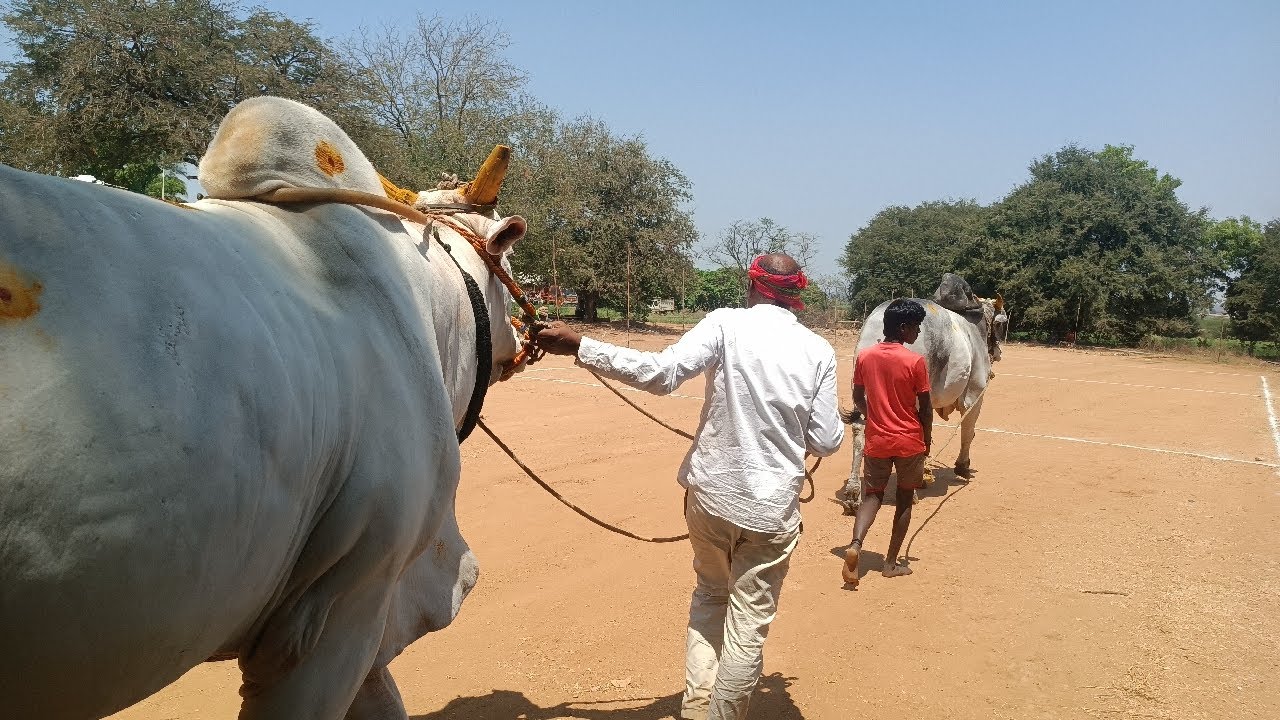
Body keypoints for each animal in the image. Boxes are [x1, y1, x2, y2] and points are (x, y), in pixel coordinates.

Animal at [836, 275, 1007, 513]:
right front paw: (962, 467)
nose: (998, 353)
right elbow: (968, 432)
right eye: (1003, 323)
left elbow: (929, 433)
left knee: (860, 430)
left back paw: (853, 495)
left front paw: (924, 473)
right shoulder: (974, 395)